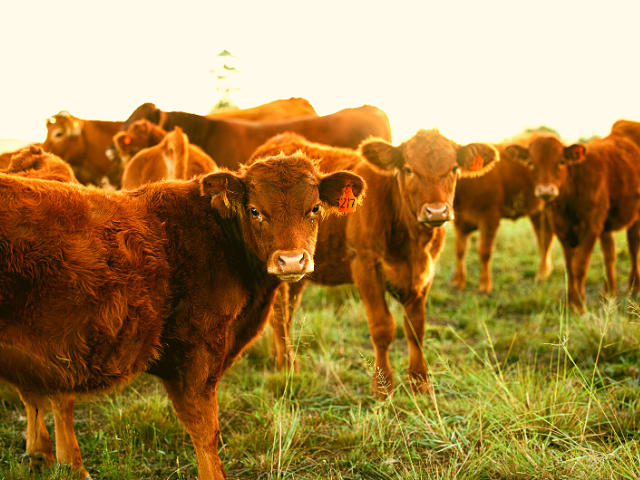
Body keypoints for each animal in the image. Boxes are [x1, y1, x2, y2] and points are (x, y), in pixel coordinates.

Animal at [0, 154, 364, 480]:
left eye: (314, 208)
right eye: (255, 210)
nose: (290, 260)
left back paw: (47, 458)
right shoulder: (196, 352)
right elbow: (205, 430)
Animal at [450, 136, 556, 292]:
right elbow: (460, 250)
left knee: (546, 239)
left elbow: (484, 251)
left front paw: (485, 284)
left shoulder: (490, 217)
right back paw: (545, 271)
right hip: (537, 212)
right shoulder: (460, 221)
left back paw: (541, 274)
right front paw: (458, 281)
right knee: (544, 237)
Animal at [504, 134, 640, 316]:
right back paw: (609, 292)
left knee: (633, 246)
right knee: (610, 253)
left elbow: (579, 266)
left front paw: (579, 306)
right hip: (605, 226)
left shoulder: (591, 228)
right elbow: (569, 266)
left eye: (561, 162)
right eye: (531, 163)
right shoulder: (561, 228)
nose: (546, 190)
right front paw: (571, 303)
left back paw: (635, 286)